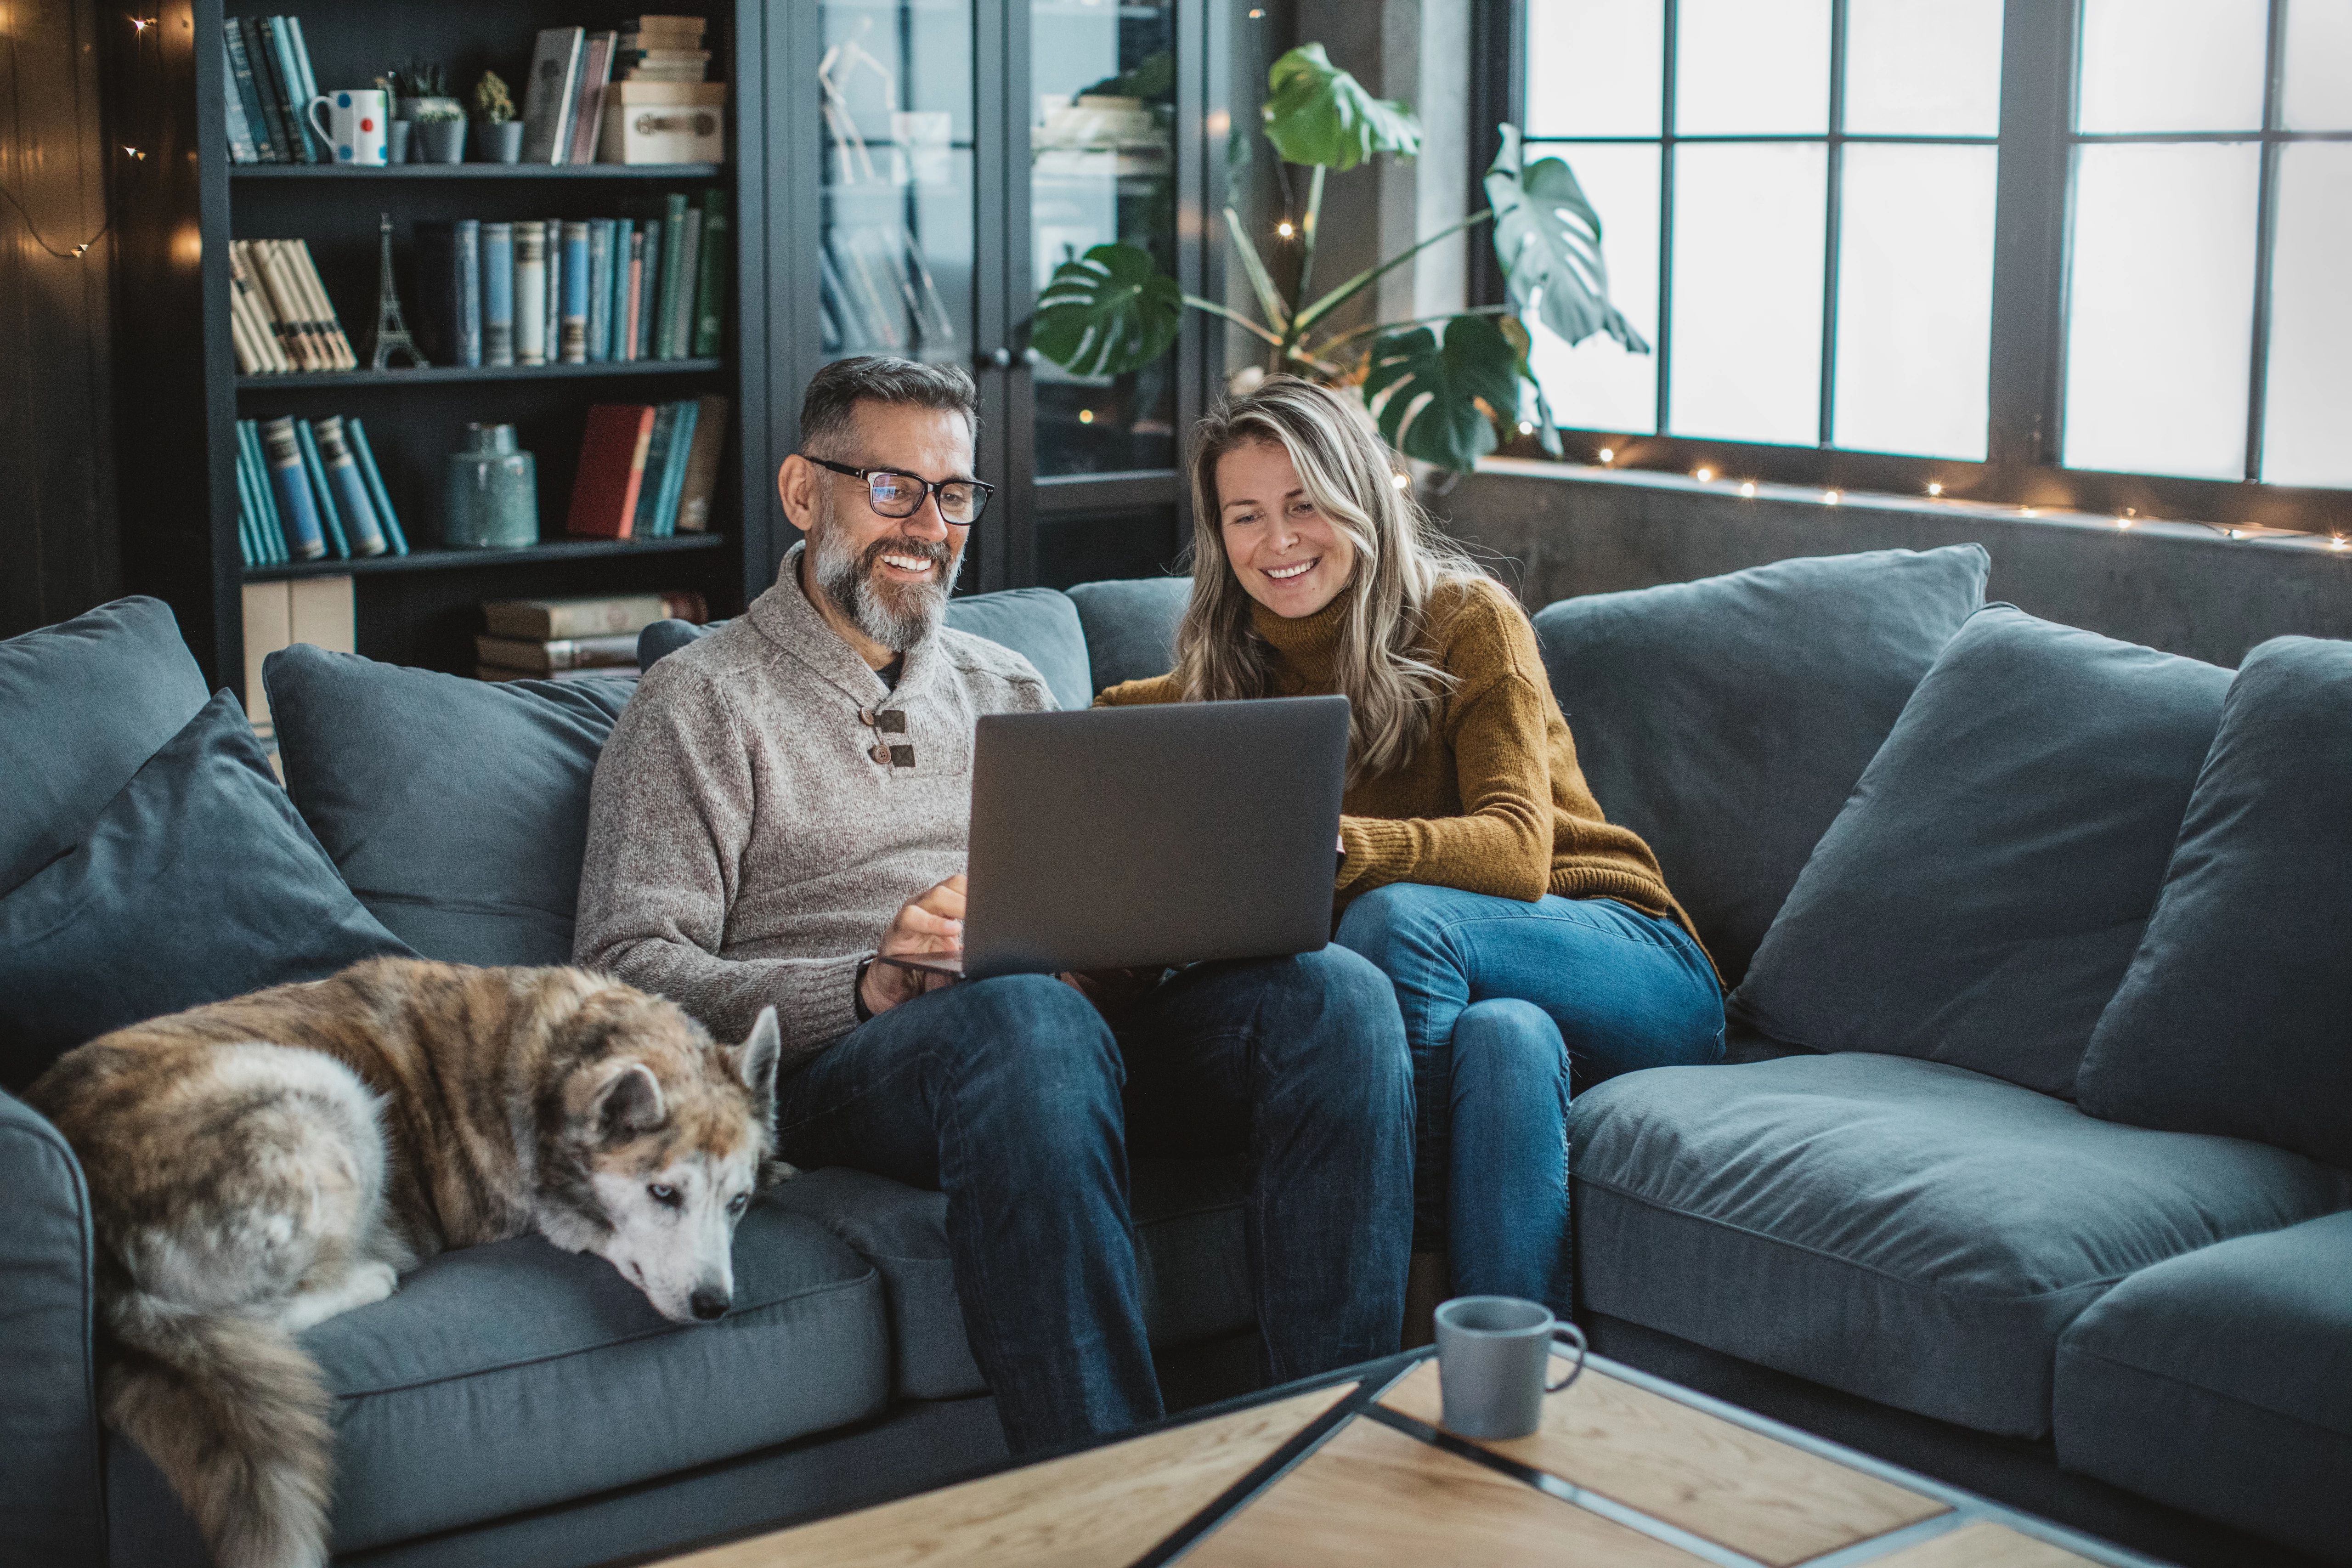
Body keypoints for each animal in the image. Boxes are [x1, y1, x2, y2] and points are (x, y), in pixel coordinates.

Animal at [25, 959, 790, 1568]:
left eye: (737, 1203)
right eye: (664, 1193)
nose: (714, 1305)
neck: (557, 1061)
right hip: (326, 1091)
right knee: (258, 1308)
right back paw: (372, 1270)